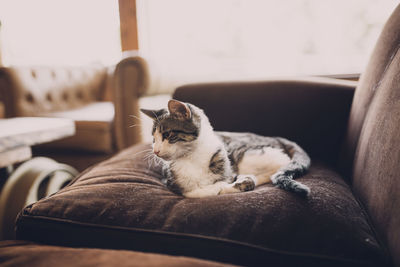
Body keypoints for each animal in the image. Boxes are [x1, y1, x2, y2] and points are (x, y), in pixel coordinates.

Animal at [141, 100, 312, 199]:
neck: (193, 157)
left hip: (249, 155)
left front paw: (233, 183)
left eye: (167, 135)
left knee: (279, 167)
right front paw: (227, 186)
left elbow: (221, 182)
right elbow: (194, 192)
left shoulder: (228, 168)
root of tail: (277, 138)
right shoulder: (169, 181)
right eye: (153, 139)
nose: (155, 151)